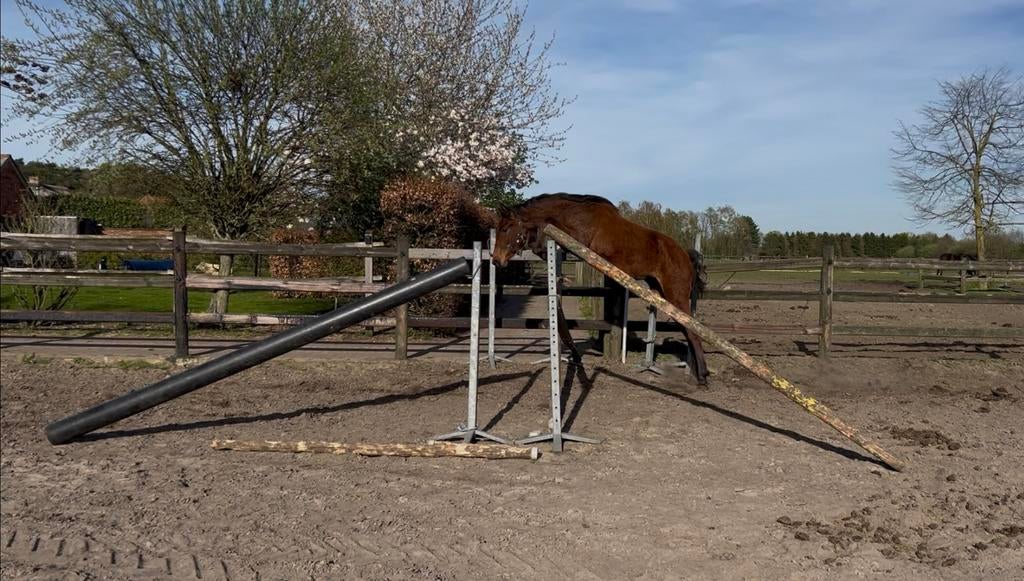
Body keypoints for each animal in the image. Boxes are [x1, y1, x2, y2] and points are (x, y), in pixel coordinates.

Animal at [490, 193, 710, 385]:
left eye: (506, 228)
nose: (496, 260)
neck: (580, 217)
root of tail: (685, 255)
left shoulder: (582, 246)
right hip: (661, 293)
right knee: (686, 327)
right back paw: (697, 372)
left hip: (675, 295)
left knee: (692, 328)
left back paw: (703, 376)